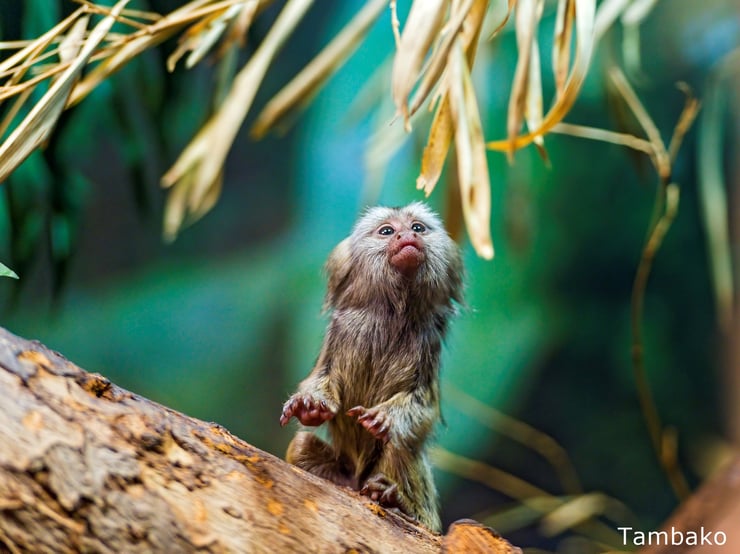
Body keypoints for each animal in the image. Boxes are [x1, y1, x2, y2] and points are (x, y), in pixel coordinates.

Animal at [279, 202, 463, 532]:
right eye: (387, 231)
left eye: (418, 228)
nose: (406, 236)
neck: (391, 313)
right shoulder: (339, 334)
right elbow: (320, 381)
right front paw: (309, 407)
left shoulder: (427, 345)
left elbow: (423, 409)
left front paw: (385, 418)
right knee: (301, 445)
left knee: (400, 446)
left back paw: (398, 501)